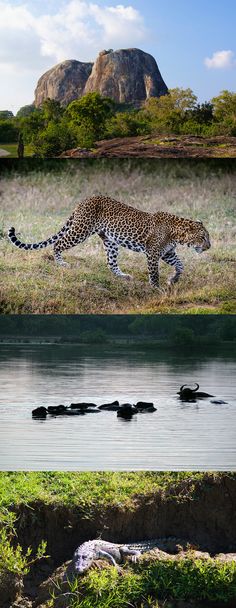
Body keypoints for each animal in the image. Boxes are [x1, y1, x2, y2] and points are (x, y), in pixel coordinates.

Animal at [8, 196, 210, 288]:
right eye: (203, 237)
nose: (208, 247)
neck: (177, 234)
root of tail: (84, 200)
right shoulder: (153, 253)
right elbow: (154, 273)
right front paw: (157, 288)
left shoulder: (167, 253)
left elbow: (180, 265)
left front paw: (173, 279)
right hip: (81, 230)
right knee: (58, 244)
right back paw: (61, 263)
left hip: (110, 241)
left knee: (110, 263)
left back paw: (123, 276)